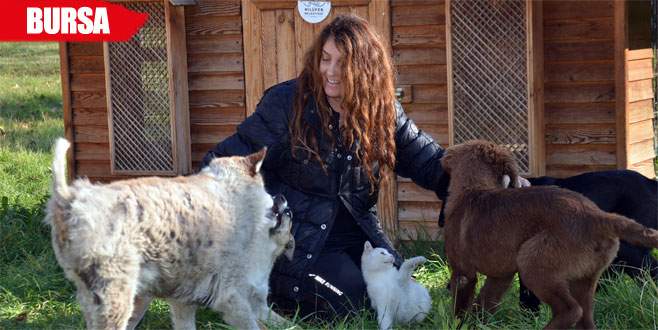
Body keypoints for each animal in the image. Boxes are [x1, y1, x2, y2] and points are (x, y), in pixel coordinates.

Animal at [438, 140, 656, 330]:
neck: (474, 188)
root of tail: (598, 217)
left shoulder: (463, 272)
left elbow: (460, 307)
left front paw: (458, 325)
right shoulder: (501, 276)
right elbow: (484, 302)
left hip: (533, 261)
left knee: (570, 310)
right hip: (585, 279)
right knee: (585, 319)